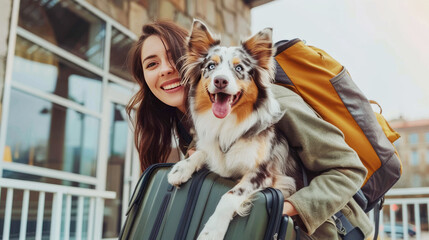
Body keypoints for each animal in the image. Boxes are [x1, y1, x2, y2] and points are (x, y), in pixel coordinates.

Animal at [166, 20, 300, 240]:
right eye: (211, 66)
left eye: (239, 68)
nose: (220, 80)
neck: (228, 124)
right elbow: (202, 152)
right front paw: (180, 169)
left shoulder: (266, 174)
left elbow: (230, 196)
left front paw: (211, 231)